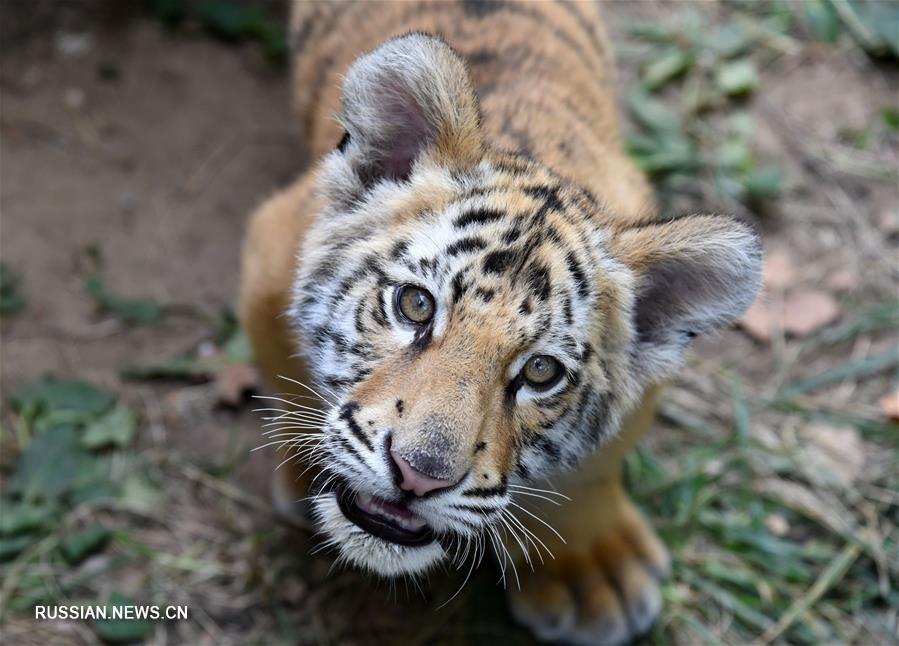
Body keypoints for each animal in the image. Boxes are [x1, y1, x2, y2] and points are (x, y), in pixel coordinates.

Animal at [237, 2, 760, 644]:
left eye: (540, 372)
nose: (418, 477)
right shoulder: (268, 259)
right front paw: (304, 477)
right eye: (415, 305)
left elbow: (591, 469)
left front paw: (594, 573)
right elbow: (288, 385)